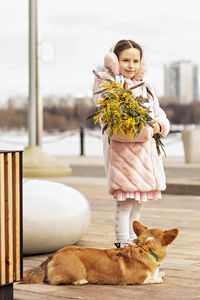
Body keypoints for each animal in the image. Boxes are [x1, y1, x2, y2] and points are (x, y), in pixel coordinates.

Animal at [21, 221, 178, 284]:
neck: (145, 248)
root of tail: (52, 256)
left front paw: (160, 273)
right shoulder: (137, 279)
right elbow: (152, 278)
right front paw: (158, 278)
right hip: (76, 269)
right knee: (56, 281)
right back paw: (81, 281)